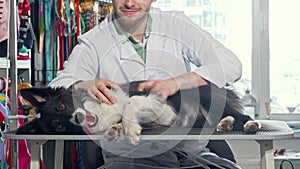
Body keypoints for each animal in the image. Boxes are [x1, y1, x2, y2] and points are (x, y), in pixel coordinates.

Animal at [16, 81, 260, 145]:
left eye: (61, 106)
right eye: (58, 125)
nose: (78, 118)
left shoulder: (161, 105)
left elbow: (130, 104)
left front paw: (129, 128)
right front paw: (117, 130)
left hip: (206, 97)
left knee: (244, 116)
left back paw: (248, 124)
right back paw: (225, 124)